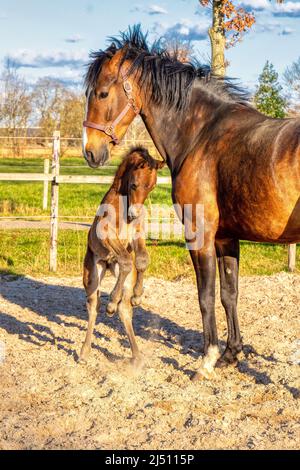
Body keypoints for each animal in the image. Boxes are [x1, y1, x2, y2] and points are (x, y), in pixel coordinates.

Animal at [79, 147, 164, 364]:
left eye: (151, 187)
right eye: (134, 184)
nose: (135, 214)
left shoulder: (136, 235)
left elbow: (141, 260)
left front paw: (138, 296)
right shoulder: (107, 236)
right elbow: (126, 260)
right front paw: (112, 302)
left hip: (122, 276)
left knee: (124, 309)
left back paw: (136, 355)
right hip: (93, 273)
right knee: (93, 305)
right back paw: (84, 351)